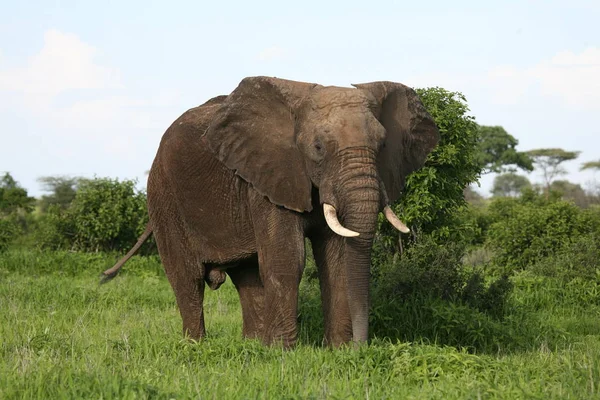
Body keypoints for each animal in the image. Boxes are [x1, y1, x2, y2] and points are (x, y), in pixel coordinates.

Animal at [102, 77, 440, 346]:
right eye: (318, 148)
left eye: (382, 146)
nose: (362, 347)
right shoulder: (268, 179)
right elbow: (286, 259)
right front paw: (285, 353)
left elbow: (336, 260)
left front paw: (337, 351)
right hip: (164, 196)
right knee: (187, 277)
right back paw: (196, 346)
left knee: (247, 276)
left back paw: (253, 346)